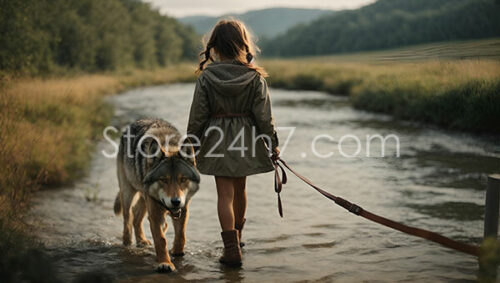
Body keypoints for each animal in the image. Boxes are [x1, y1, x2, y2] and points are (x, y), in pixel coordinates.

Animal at [113, 118, 199, 274]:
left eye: (183, 179)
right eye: (163, 180)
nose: (176, 201)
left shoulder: (183, 210)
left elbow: (181, 235)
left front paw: (177, 252)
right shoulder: (155, 213)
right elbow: (160, 240)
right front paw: (165, 263)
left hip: (144, 199)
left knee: (137, 219)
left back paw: (142, 240)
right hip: (129, 193)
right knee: (128, 219)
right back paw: (128, 244)